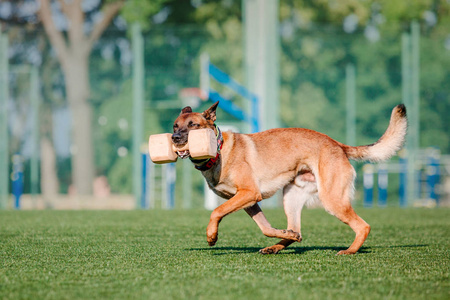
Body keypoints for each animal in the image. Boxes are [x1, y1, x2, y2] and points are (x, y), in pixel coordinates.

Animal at [172, 102, 408, 254]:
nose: (174, 138)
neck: (219, 152)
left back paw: (349, 251)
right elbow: (265, 228)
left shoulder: (249, 194)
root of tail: (338, 145)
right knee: (297, 229)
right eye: (175, 125)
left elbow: (216, 211)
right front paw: (282, 235)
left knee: (363, 226)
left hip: (332, 200)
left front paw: (211, 235)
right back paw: (281, 242)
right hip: (291, 199)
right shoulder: (249, 201)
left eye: (193, 125)